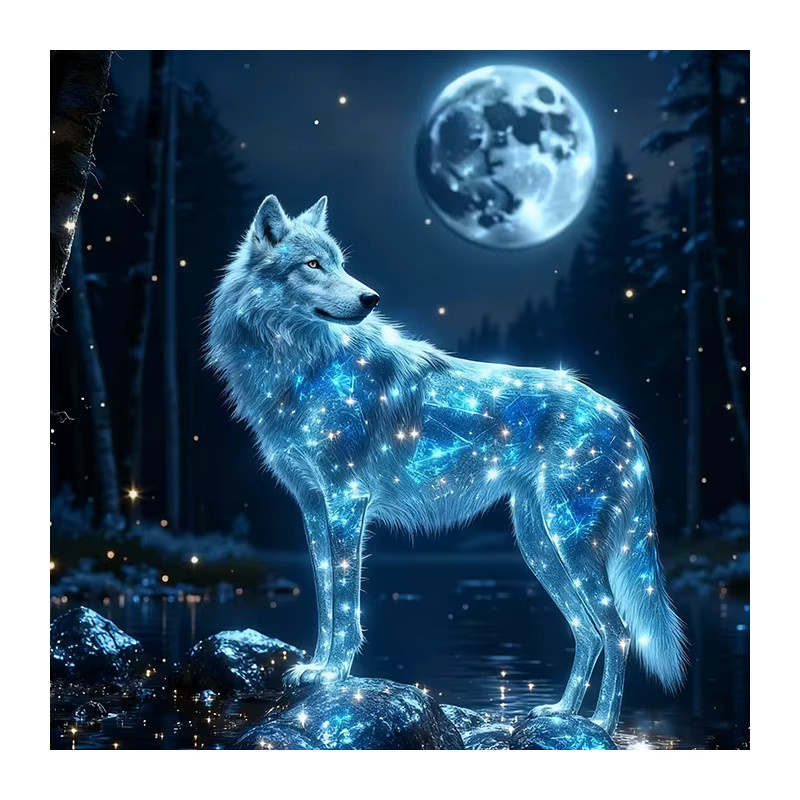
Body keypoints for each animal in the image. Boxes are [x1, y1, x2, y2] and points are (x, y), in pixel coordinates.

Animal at [207, 194, 687, 734]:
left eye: (341, 264)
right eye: (313, 265)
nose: (371, 299)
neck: (299, 363)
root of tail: (623, 418)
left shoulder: (347, 500)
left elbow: (347, 605)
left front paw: (334, 676)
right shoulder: (313, 505)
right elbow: (326, 596)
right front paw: (317, 669)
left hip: (569, 541)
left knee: (618, 631)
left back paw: (599, 726)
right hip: (538, 544)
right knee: (588, 630)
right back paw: (560, 713)